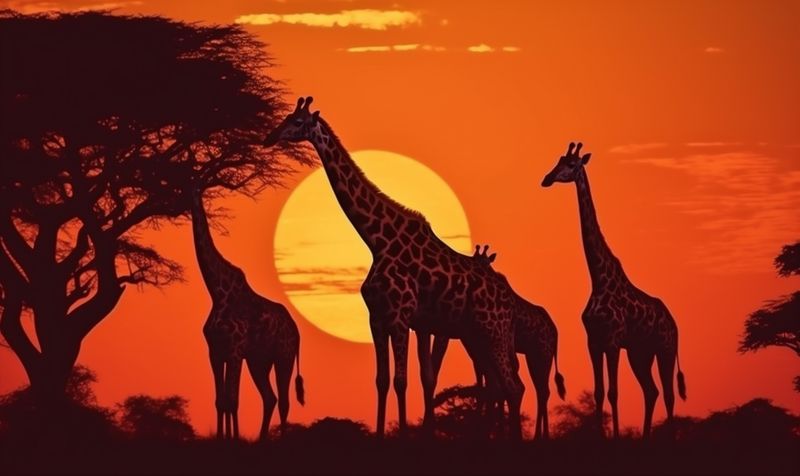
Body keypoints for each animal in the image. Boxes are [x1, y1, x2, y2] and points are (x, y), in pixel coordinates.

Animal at [189, 186, 305, 441]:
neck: (217, 291)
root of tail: (297, 331)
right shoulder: (215, 351)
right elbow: (220, 401)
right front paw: (222, 438)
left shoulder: (234, 350)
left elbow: (233, 400)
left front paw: (233, 439)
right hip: (259, 361)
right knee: (270, 398)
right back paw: (261, 439)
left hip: (283, 356)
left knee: (284, 401)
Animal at [265, 97, 524, 438]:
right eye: (285, 118)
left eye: (296, 121)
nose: (269, 137)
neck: (378, 240)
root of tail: (509, 300)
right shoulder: (377, 318)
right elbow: (382, 381)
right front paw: (380, 434)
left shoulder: (401, 318)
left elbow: (402, 381)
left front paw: (402, 434)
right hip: (480, 334)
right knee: (506, 386)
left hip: (492, 330)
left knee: (512, 387)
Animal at [431, 244, 567, 439]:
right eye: (474, 260)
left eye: (486, 262)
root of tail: (555, 333)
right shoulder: (479, 350)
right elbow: (487, 385)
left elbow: (494, 386)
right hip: (533, 355)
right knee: (540, 390)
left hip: (542, 354)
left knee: (542, 391)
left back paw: (540, 436)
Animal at [541, 142, 687, 437]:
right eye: (558, 161)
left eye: (571, 165)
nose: (547, 179)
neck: (597, 279)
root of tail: (674, 321)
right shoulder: (593, 342)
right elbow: (599, 392)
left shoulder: (612, 341)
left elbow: (613, 392)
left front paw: (616, 436)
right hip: (640, 353)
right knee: (651, 391)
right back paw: (645, 437)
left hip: (665, 348)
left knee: (668, 394)